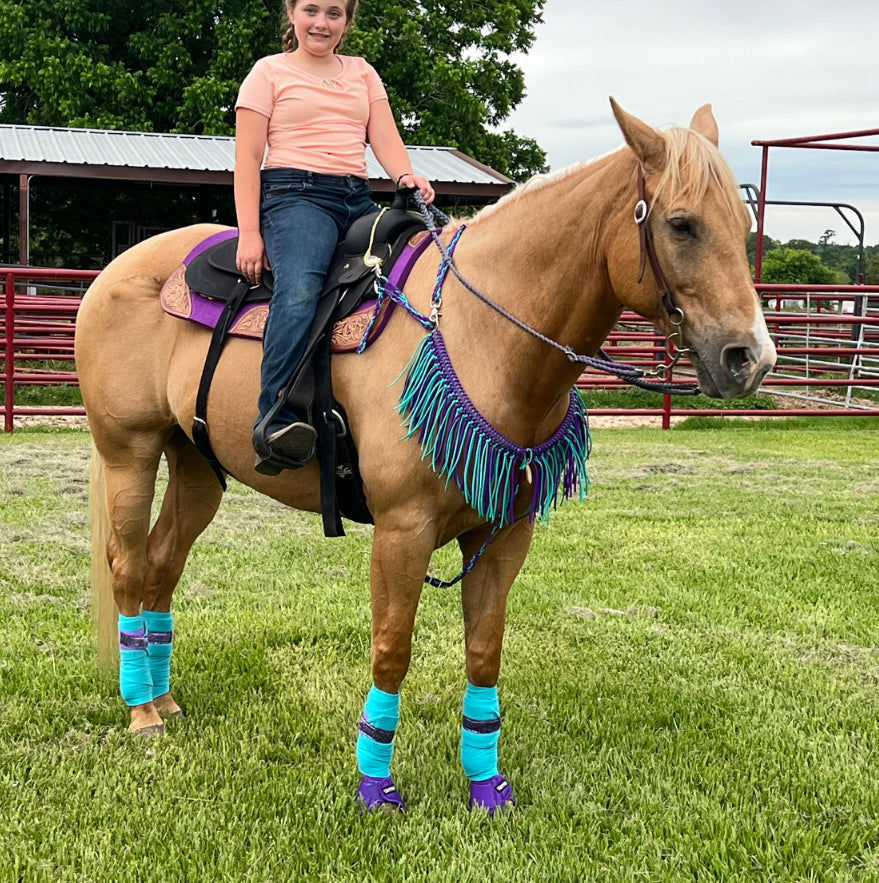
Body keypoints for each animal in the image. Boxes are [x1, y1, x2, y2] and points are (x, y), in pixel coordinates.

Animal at [75, 100, 776, 812]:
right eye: (681, 224)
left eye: (745, 225)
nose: (750, 358)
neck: (478, 333)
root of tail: (116, 271)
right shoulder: (401, 532)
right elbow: (392, 650)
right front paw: (374, 785)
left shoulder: (503, 535)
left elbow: (484, 653)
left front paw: (486, 787)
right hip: (130, 452)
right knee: (128, 567)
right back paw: (142, 713)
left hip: (197, 466)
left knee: (163, 564)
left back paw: (164, 698)